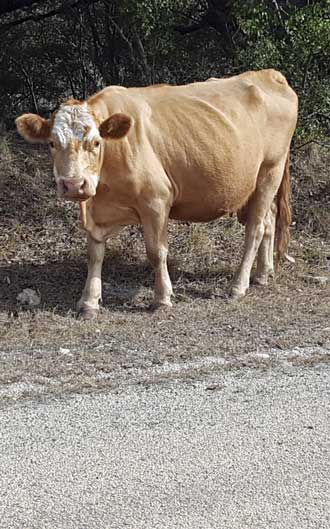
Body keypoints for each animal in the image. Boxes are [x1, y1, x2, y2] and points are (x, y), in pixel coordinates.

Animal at [16, 69, 300, 318]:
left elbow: (156, 252)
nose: (74, 184)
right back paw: (263, 274)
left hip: (270, 170)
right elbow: (94, 254)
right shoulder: (97, 212)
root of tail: (268, 74)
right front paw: (89, 302)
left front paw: (162, 298)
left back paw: (238, 285)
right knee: (269, 220)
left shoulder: (155, 200)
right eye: (52, 143)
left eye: (96, 142)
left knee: (255, 228)